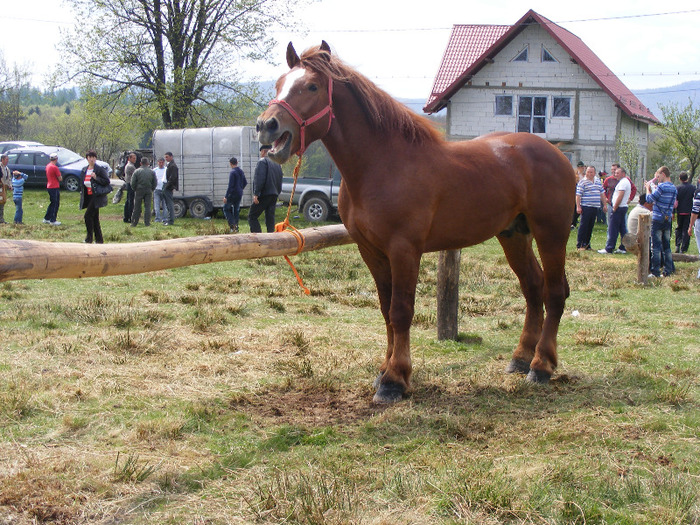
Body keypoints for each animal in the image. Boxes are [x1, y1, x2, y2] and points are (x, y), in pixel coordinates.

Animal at [258, 43, 576, 404]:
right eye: (279, 84)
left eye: (311, 86)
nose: (266, 125)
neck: (383, 165)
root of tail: (558, 154)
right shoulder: (371, 251)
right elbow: (386, 311)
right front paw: (384, 370)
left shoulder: (404, 250)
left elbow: (400, 311)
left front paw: (394, 380)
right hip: (513, 235)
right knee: (533, 288)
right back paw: (520, 359)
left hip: (551, 233)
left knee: (554, 292)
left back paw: (541, 367)